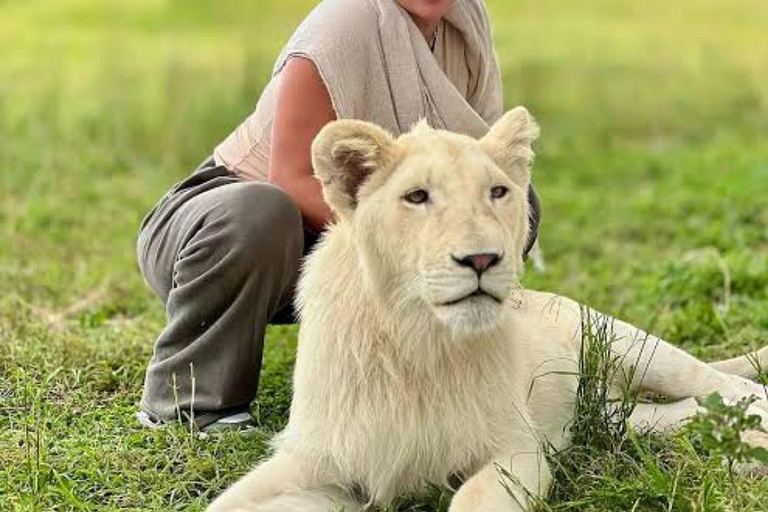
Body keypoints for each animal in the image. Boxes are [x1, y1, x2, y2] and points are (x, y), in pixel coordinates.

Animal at [207, 108, 768, 512]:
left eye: (497, 191)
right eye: (417, 197)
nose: (482, 259)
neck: (416, 342)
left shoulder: (518, 449)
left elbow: (472, 498)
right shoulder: (321, 458)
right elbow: (227, 504)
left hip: (626, 342)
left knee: (722, 383)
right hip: (614, 417)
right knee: (677, 412)